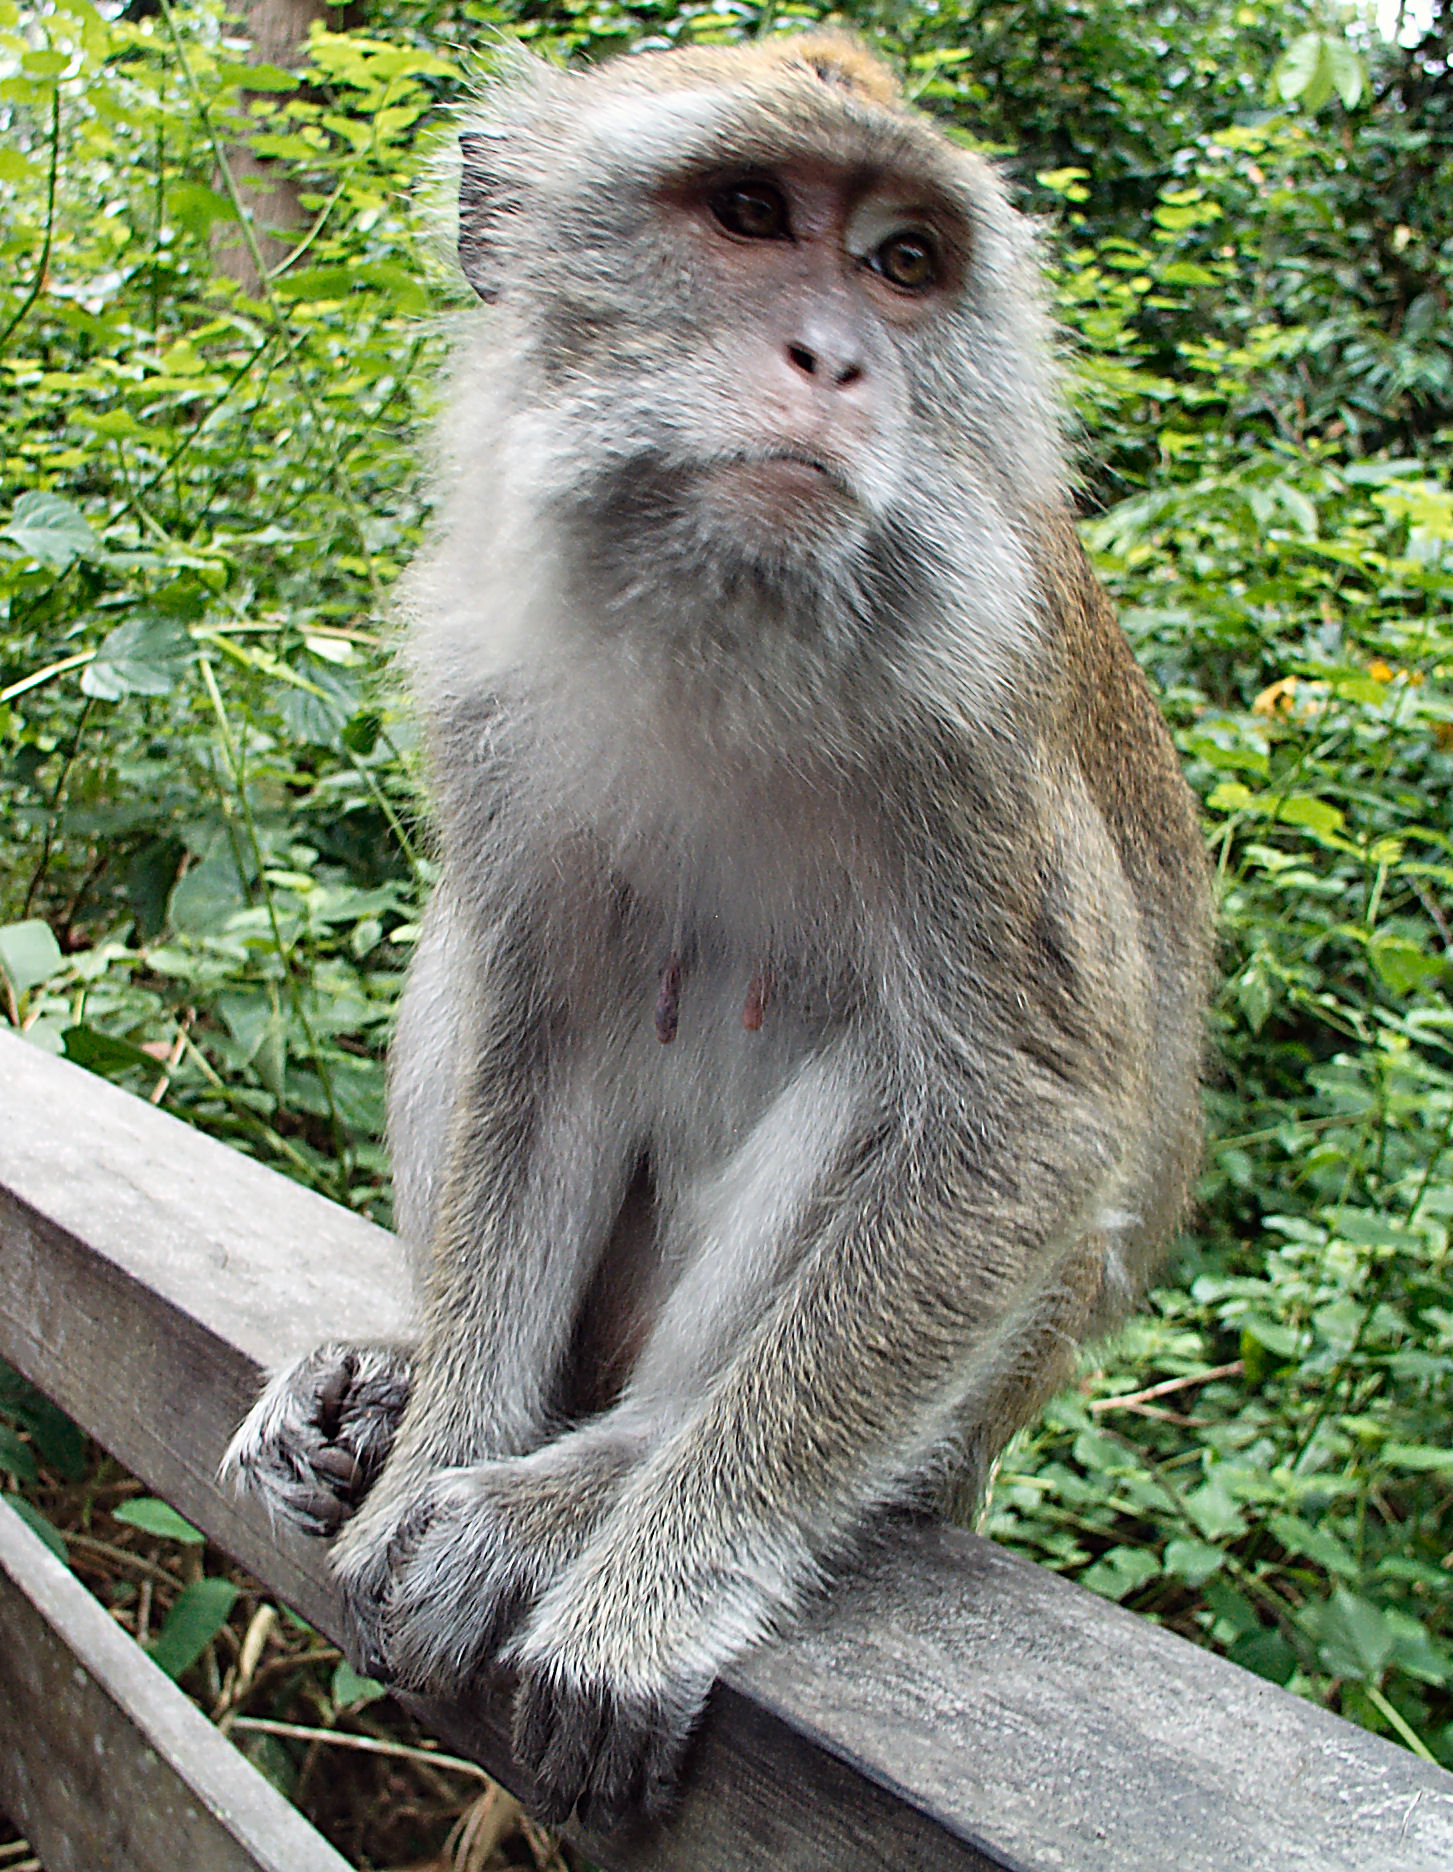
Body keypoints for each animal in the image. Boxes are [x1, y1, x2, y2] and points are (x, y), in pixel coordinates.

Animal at [220, 29, 1205, 1834]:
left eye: (904, 263)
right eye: (749, 212)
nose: (838, 361)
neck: (716, 617)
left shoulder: (974, 727)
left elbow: (1025, 1121)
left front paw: (647, 1573)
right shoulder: (483, 670)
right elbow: (537, 1021)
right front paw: (441, 1439)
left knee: (886, 1079)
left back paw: (601, 1471)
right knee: (484, 958)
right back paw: (410, 1384)